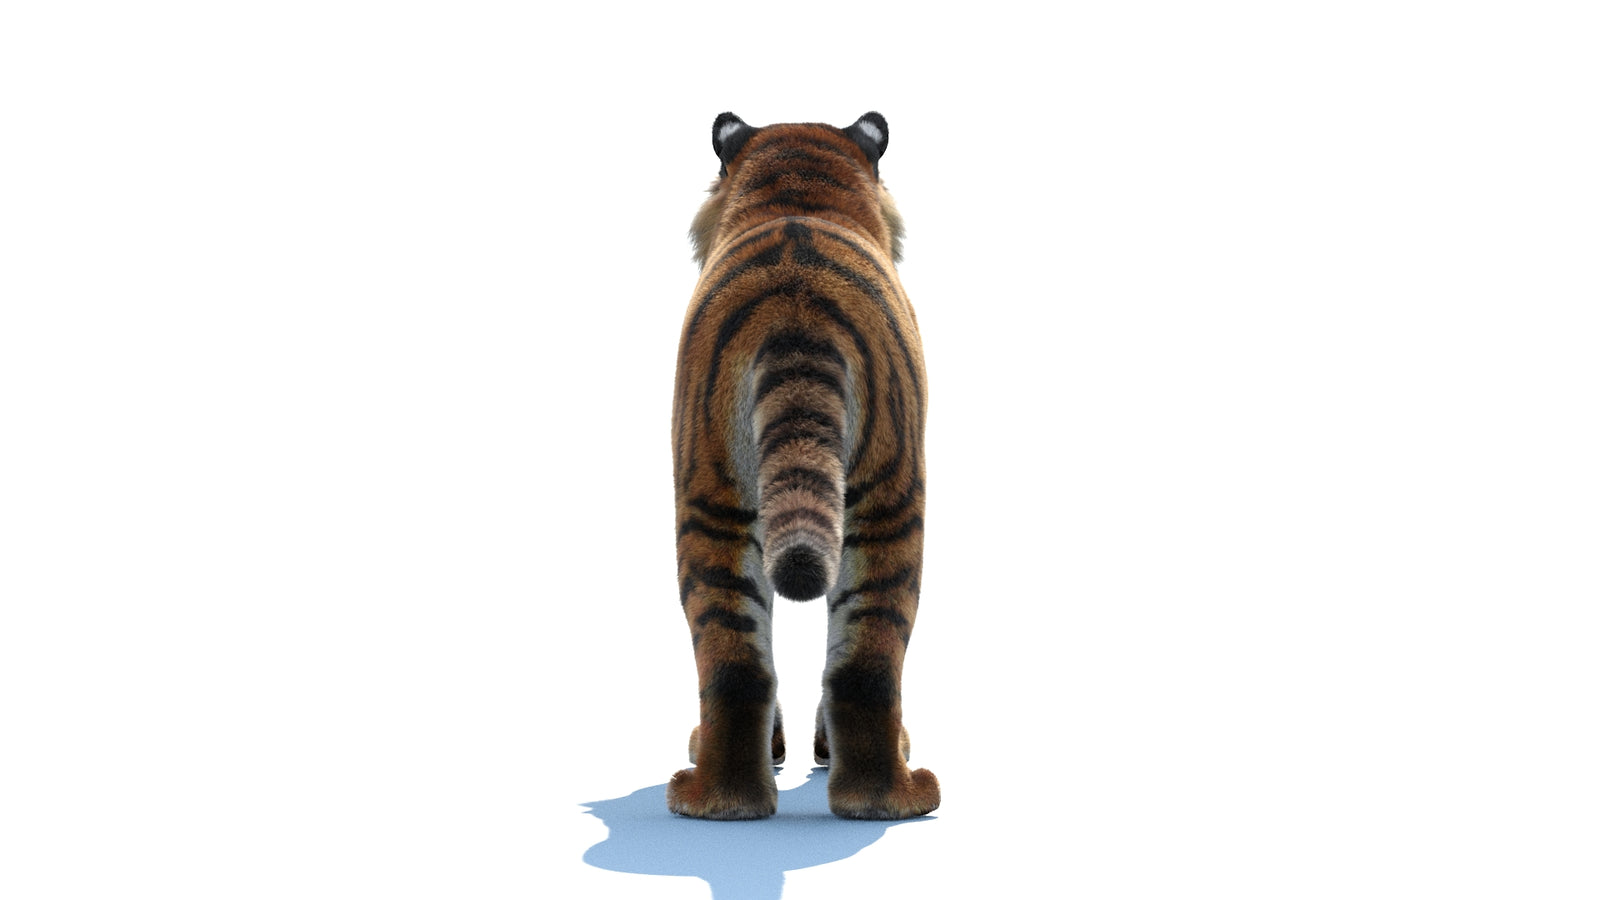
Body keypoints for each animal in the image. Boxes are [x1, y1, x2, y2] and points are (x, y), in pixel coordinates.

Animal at [668, 111, 939, 820]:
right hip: (887, 497)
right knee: (863, 665)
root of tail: (798, 301)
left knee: (741, 665)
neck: (798, 190)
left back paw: (721, 801)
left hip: (716, 497)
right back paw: (888, 798)